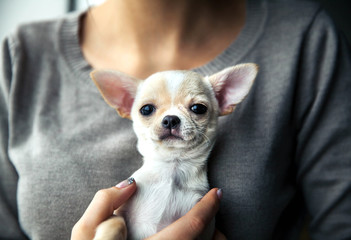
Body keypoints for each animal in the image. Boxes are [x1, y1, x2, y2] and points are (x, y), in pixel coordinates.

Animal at [90, 63, 258, 240]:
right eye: (146, 109)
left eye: (198, 108)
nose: (170, 119)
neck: (172, 167)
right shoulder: (120, 212)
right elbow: (115, 222)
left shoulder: (204, 229)